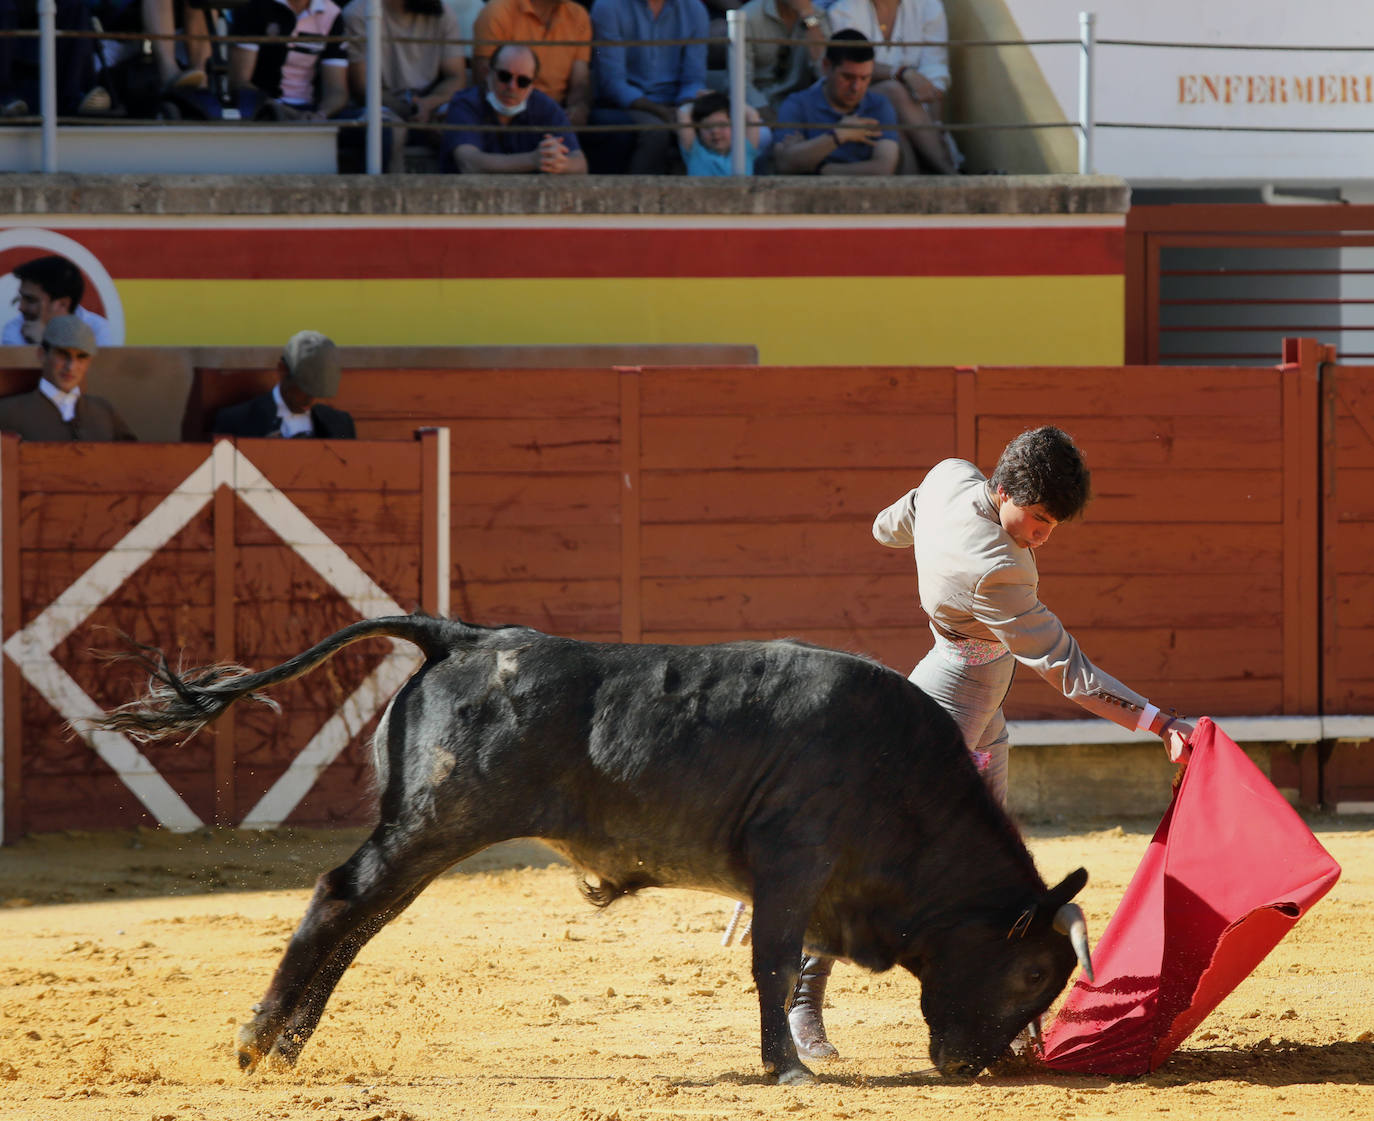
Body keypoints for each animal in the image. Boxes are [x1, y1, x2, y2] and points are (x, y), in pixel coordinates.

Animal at [88, 612, 1093, 1088]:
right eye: (1030, 972)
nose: (978, 1066)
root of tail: (466, 635)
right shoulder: (791, 866)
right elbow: (773, 964)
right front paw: (789, 1067)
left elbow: (791, 963)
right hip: (434, 822)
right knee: (340, 897)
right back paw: (257, 1040)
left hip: (429, 832)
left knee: (361, 920)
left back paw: (288, 1045)